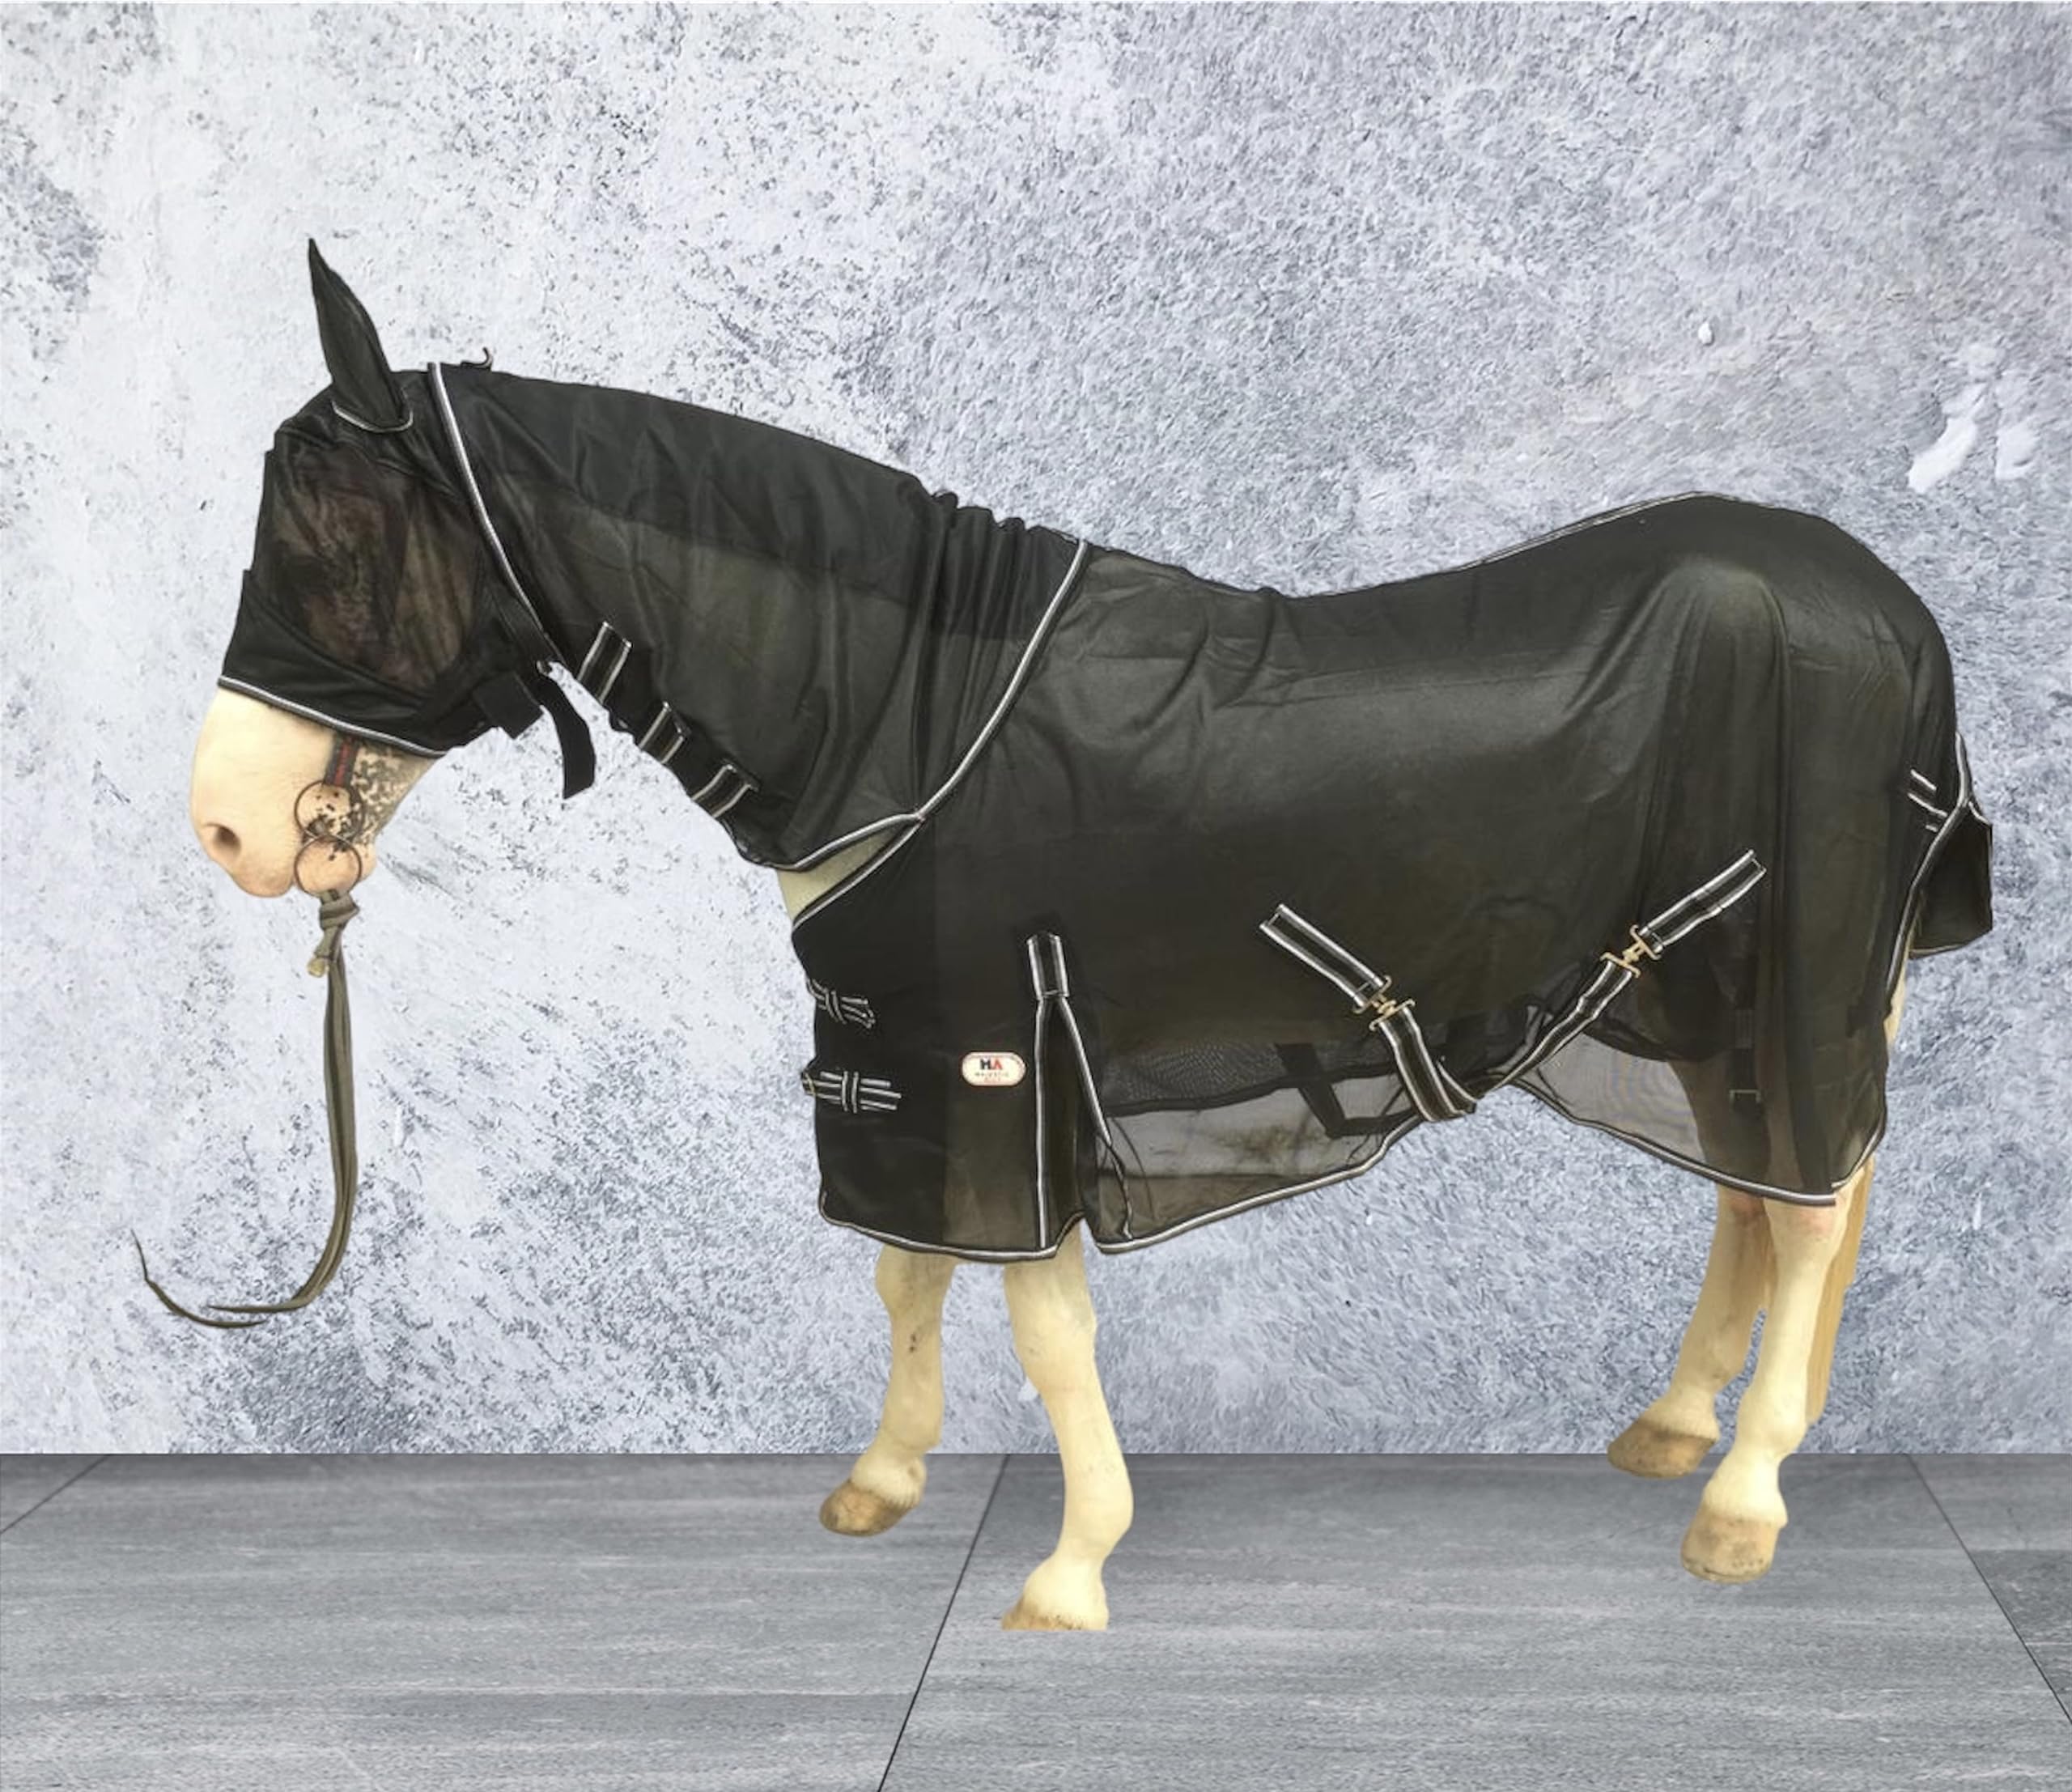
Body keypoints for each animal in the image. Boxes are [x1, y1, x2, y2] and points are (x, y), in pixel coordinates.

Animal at [170, 243, 1993, 1630]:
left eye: (332, 536)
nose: (231, 828)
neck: (904, 714)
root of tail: (1889, 608)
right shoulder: (905, 1054)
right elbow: (909, 1275)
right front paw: (883, 1480)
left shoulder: (1001, 1052)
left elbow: (1039, 1324)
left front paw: (1068, 1569)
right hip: (1695, 985)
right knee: (1762, 1194)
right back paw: (1672, 1430)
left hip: (1788, 963)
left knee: (1812, 1207)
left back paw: (1741, 1501)